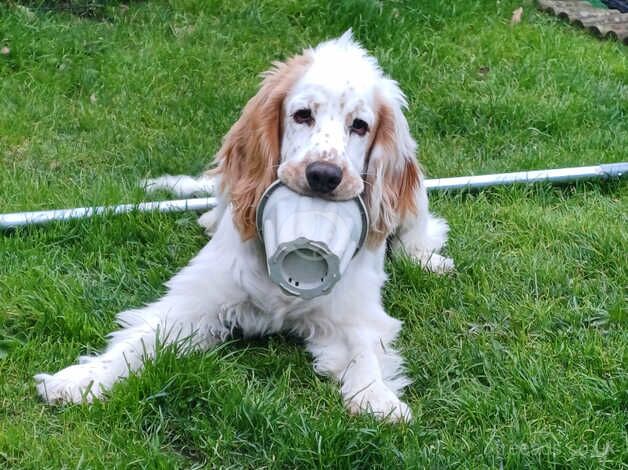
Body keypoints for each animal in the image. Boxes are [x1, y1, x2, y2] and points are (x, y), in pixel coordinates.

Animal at [34, 33, 454, 422]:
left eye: (360, 126)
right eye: (302, 115)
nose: (323, 175)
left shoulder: (355, 314)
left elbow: (365, 354)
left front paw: (378, 400)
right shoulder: (194, 301)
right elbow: (136, 342)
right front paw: (79, 379)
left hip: (415, 192)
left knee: (420, 230)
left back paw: (427, 260)